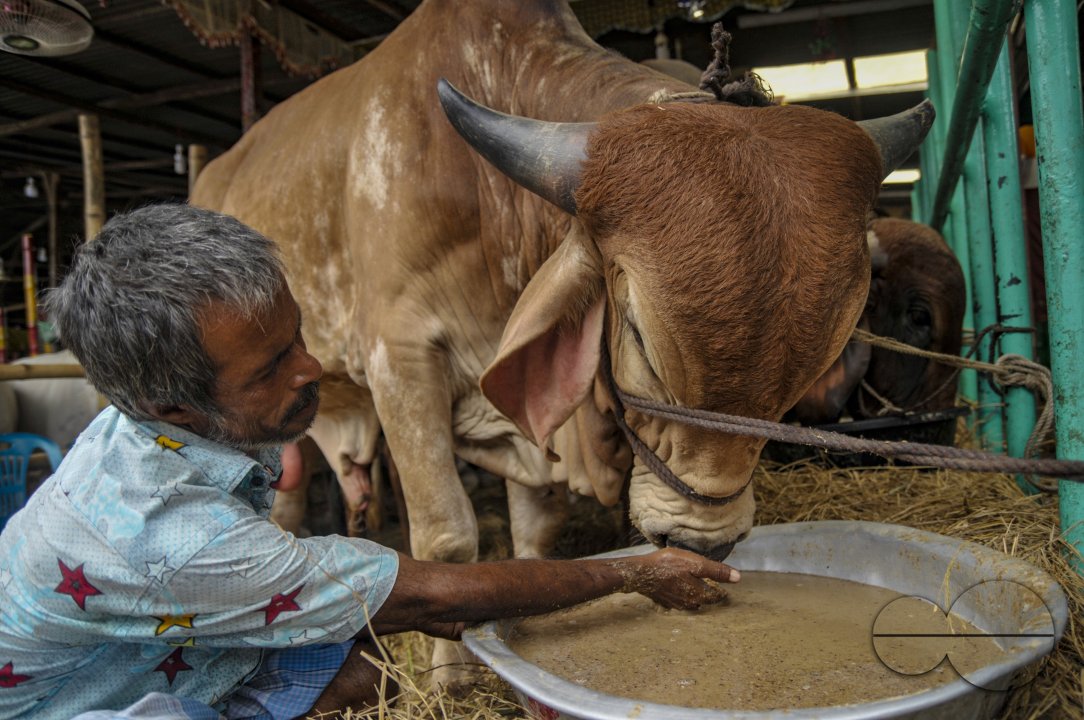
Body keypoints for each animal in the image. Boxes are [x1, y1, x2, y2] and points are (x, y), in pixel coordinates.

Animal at [190, 0, 931, 682]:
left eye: (814, 361)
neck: (490, 201)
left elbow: (536, 534)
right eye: (641, 339)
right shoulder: (400, 361)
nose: (706, 545)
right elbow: (447, 537)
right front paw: (451, 680)